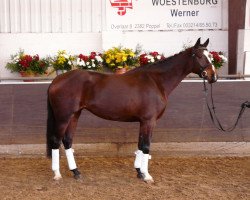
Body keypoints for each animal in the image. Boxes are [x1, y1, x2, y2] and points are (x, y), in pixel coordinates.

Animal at [46, 38, 217, 183]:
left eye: (210, 55)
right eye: (200, 55)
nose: (213, 76)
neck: (156, 81)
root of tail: (56, 80)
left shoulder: (143, 121)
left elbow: (140, 145)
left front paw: (139, 172)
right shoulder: (149, 121)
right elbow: (146, 146)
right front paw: (147, 176)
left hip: (74, 115)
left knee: (67, 141)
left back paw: (76, 172)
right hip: (63, 116)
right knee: (56, 140)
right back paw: (57, 174)